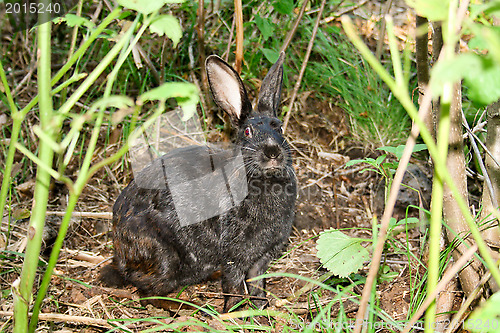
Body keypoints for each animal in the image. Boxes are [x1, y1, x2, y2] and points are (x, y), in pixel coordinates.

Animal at [101, 52, 296, 312]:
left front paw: (262, 309)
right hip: (163, 256)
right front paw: (232, 312)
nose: (273, 153)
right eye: (247, 132)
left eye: (280, 128)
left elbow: (257, 285)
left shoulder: (262, 258)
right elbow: (233, 285)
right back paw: (182, 307)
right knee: (146, 292)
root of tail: (119, 251)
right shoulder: (233, 254)